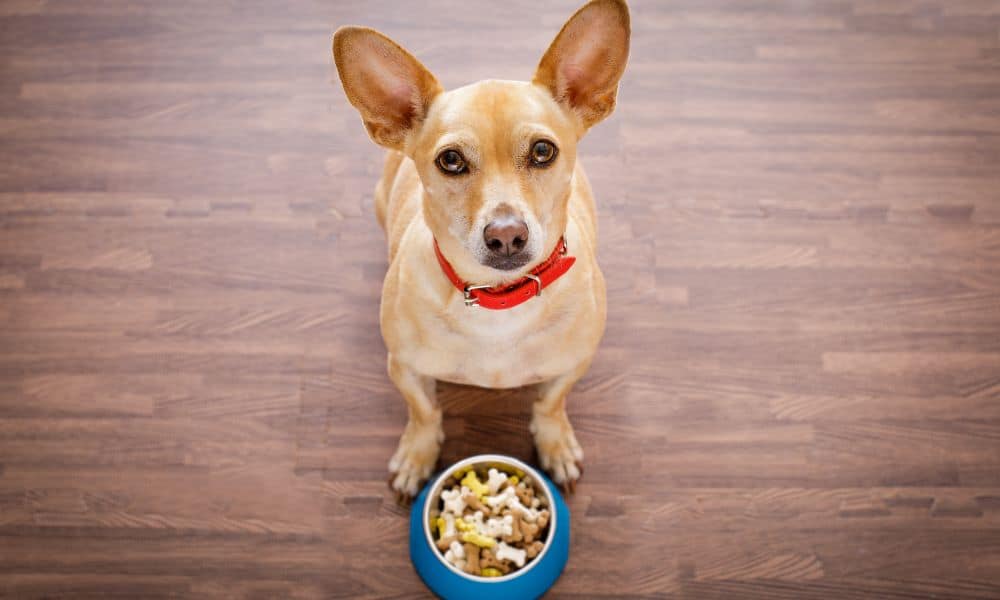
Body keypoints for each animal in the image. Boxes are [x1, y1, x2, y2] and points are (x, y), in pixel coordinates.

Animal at [334, 1, 632, 496]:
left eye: (543, 151)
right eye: (450, 160)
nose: (506, 234)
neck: (499, 299)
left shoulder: (572, 365)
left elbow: (550, 404)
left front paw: (555, 443)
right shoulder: (406, 369)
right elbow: (424, 412)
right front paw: (418, 454)